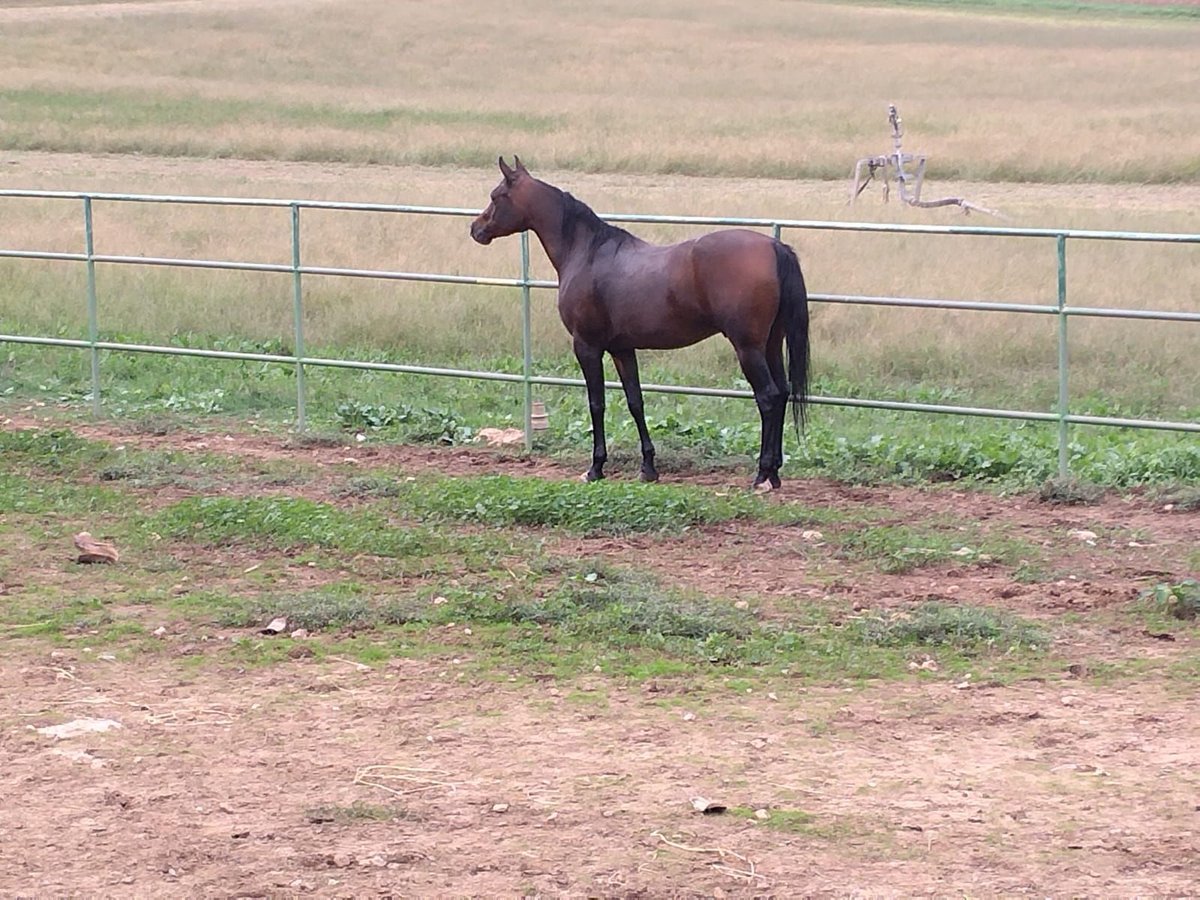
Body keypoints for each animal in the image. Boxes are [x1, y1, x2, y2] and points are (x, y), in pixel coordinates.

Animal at [470, 157, 810, 491]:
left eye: (496, 196)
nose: (476, 228)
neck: (587, 253)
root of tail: (774, 248)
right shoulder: (623, 349)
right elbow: (636, 402)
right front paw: (648, 468)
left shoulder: (587, 347)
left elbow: (597, 403)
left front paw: (595, 468)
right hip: (771, 344)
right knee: (782, 392)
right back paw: (774, 473)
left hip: (747, 348)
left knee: (767, 397)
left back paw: (762, 475)